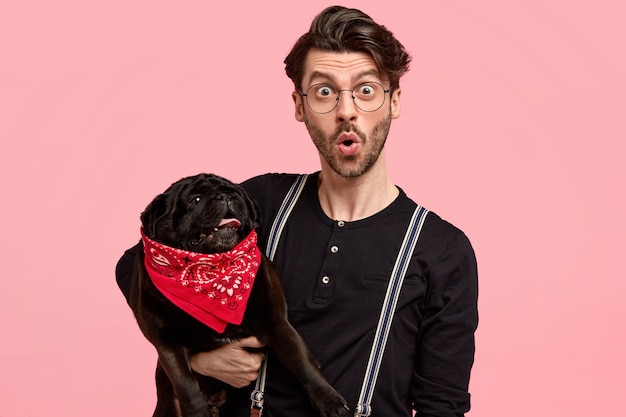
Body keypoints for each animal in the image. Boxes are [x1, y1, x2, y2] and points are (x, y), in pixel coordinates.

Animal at [129, 171, 348, 414]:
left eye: (235, 193)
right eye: (196, 199)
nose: (225, 196)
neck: (216, 272)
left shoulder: (276, 321)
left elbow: (301, 360)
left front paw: (328, 399)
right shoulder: (166, 341)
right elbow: (185, 384)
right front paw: (197, 412)